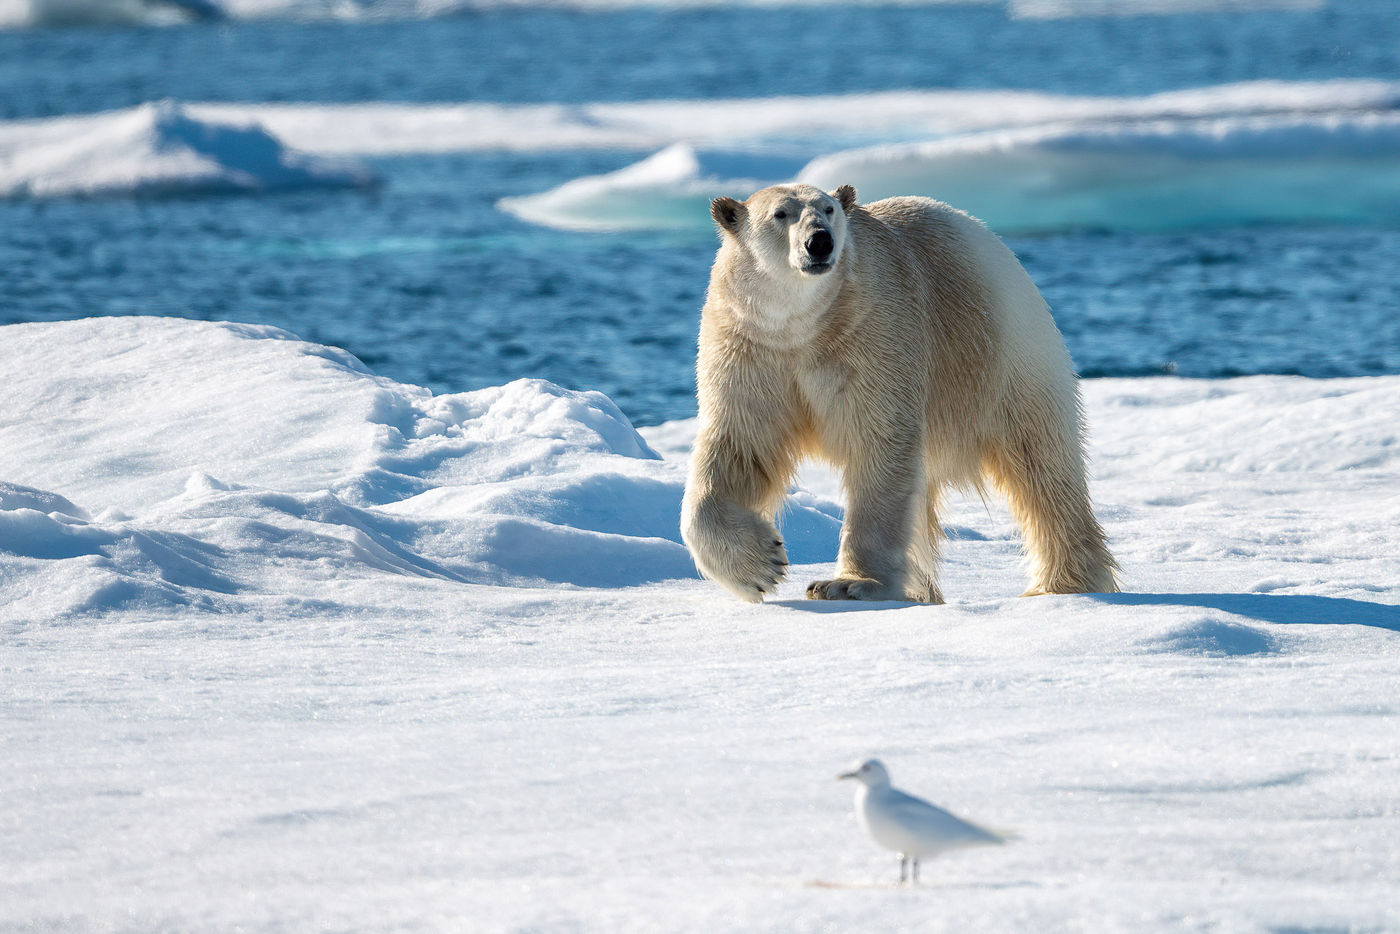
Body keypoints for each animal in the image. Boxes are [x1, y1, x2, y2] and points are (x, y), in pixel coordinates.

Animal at [677, 186, 1114, 602]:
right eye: (780, 213)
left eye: (828, 209)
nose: (819, 241)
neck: (802, 327)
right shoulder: (752, 348)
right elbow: (738, 446)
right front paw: (760, 566)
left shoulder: (875, 334)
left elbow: (880, 442)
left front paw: (847, 584)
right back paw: (922, 589)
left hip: (1004, 356)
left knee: (1040, 463)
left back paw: (1061, 583)